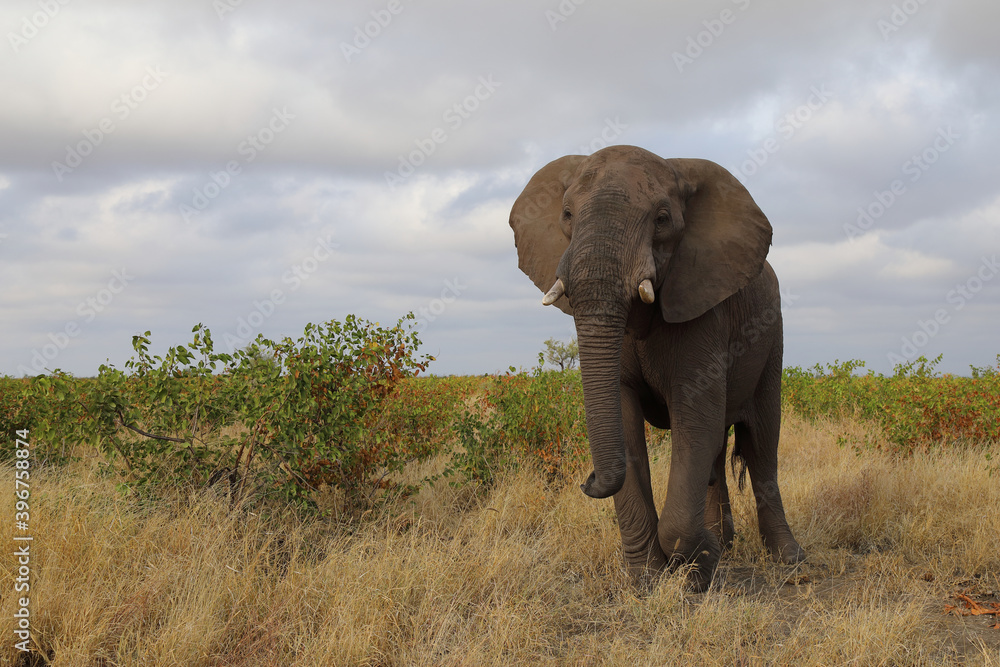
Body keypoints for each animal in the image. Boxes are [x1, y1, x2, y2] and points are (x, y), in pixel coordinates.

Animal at [509, 145, 804, 591]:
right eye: (567, 214)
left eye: (663, 219)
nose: (587, 481)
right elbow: (627, 421)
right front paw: (649, 580)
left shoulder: (704, 306)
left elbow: (694, 418)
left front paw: (698, 566)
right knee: (718, 450)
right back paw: (724, 541)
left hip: (773, 336)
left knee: (762, 442)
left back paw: (790, 561)